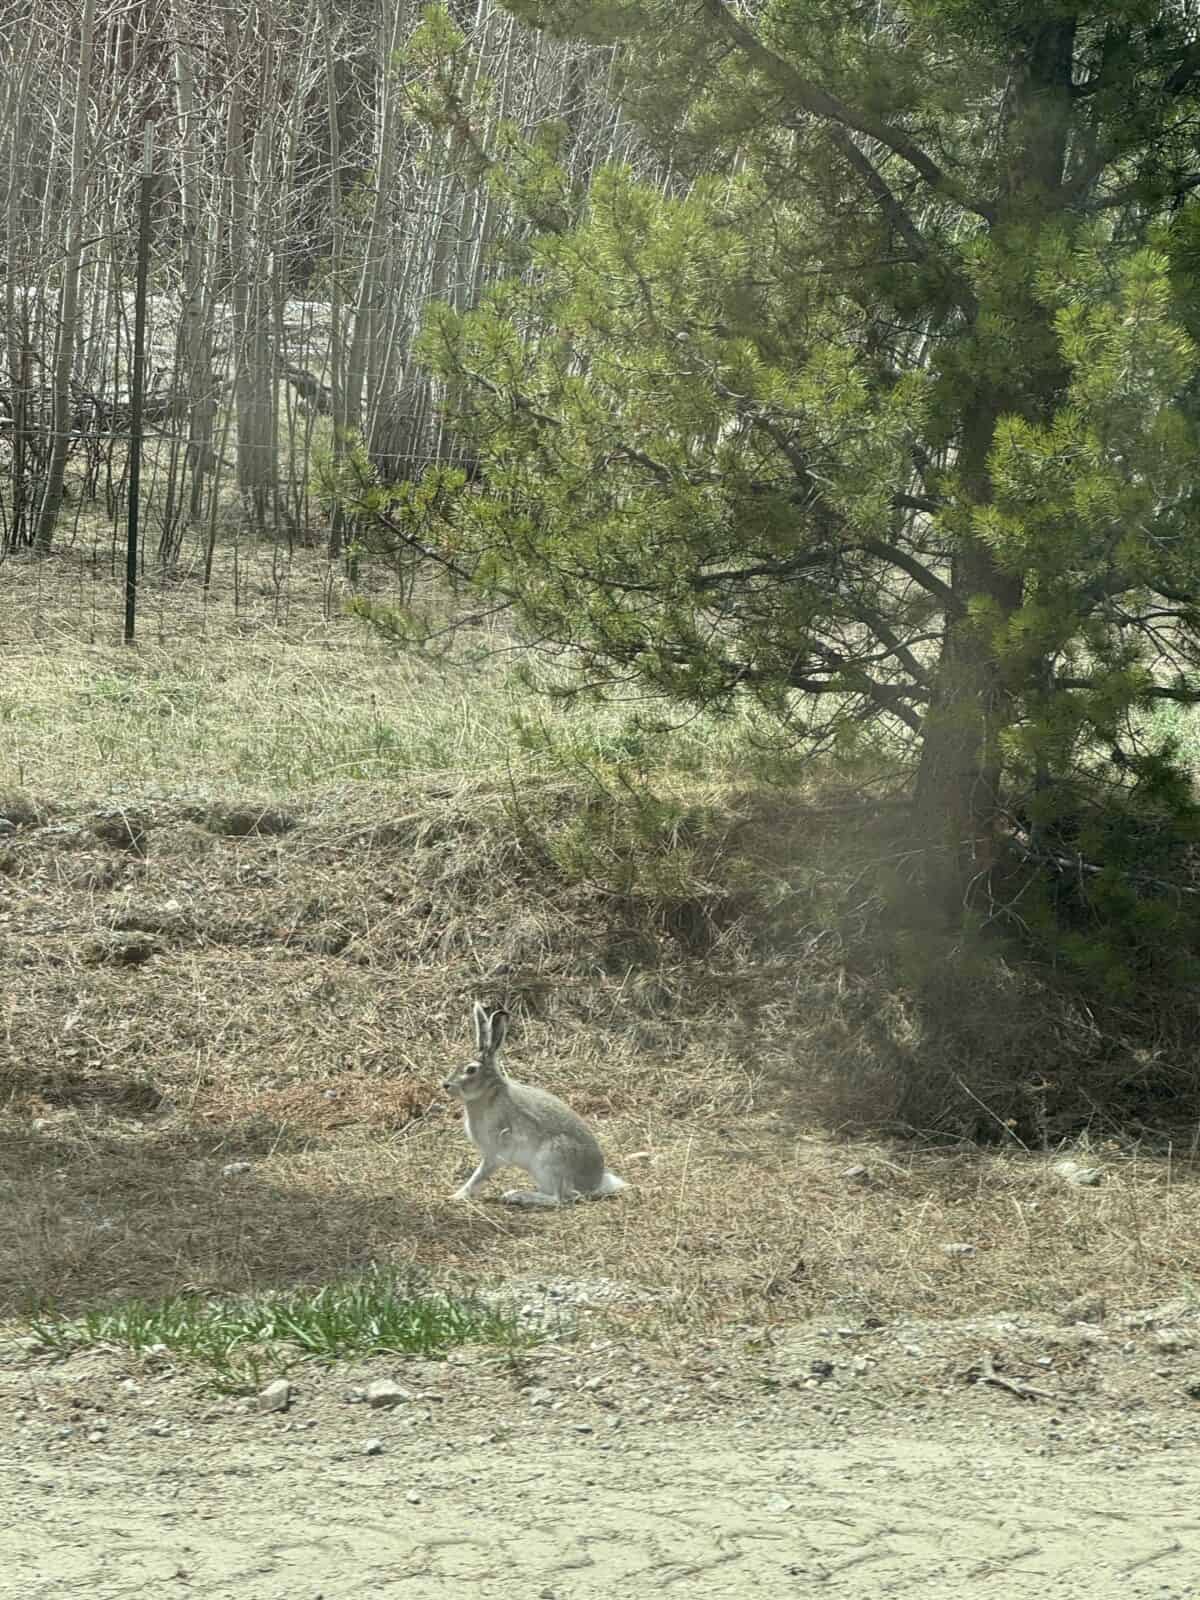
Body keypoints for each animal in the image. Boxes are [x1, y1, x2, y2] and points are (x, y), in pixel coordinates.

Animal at [442, 1002, 627, 1207]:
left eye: (471, 1070)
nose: (446, 1085)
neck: (489, 1093)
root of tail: (594, 1182)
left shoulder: (495, 1152)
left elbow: (479, 1176)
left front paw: (456, 1195)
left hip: (551, 1160)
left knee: (558, 1198)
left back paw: (516, 1195)